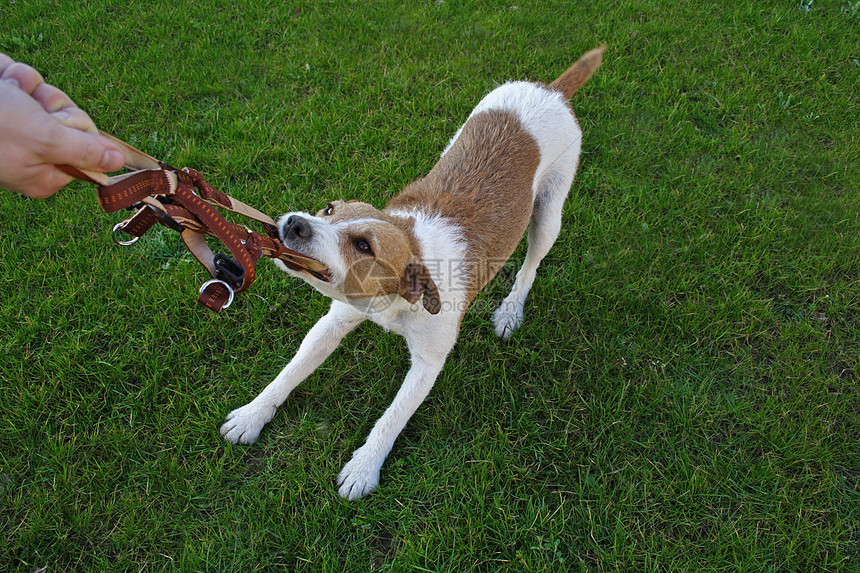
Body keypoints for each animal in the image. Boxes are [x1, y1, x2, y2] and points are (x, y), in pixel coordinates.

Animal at [223, 47, 612, 498]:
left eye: (364, 246)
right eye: (329, 209)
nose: (294, 224)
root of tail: (550, 90)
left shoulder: (428, 360)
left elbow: (392, 417)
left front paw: (364, 468)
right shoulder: (334, 321)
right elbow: (288, 373)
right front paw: (252, 415)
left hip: (549, 213)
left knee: (531, 264)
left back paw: (511, 309)